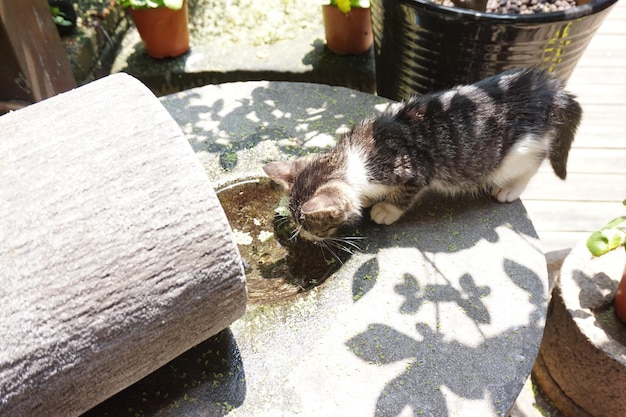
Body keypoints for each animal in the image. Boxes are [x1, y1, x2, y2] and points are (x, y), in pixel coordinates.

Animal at [262, 68, 580, 240]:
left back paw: (510, 189)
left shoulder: (413, 170)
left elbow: (404, 195)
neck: (356, 158)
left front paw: (386, 210)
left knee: (535, 161)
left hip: (518, 150)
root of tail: (550, 89)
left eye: (310, 225)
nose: (304, 236)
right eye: (296, 221)